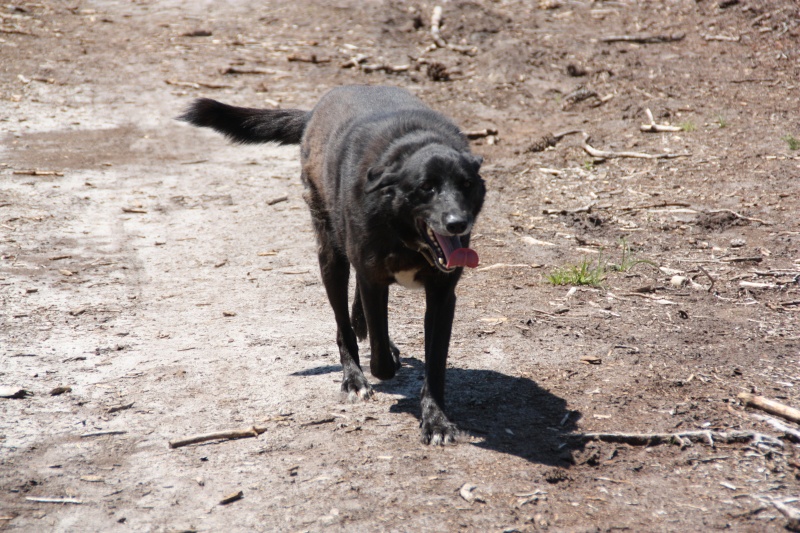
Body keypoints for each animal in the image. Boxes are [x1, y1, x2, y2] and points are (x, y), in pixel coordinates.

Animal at [179, 87, 484, 442]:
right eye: (426, 187)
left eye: (466, 185)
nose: (457, 223)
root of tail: (315, 111)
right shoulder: (373, 278)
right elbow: (380, 357)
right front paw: (379, 366)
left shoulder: (441, 295)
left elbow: (434, 362)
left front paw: (436, 421)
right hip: (330, 257)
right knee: (343, 326)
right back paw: (353, 377)